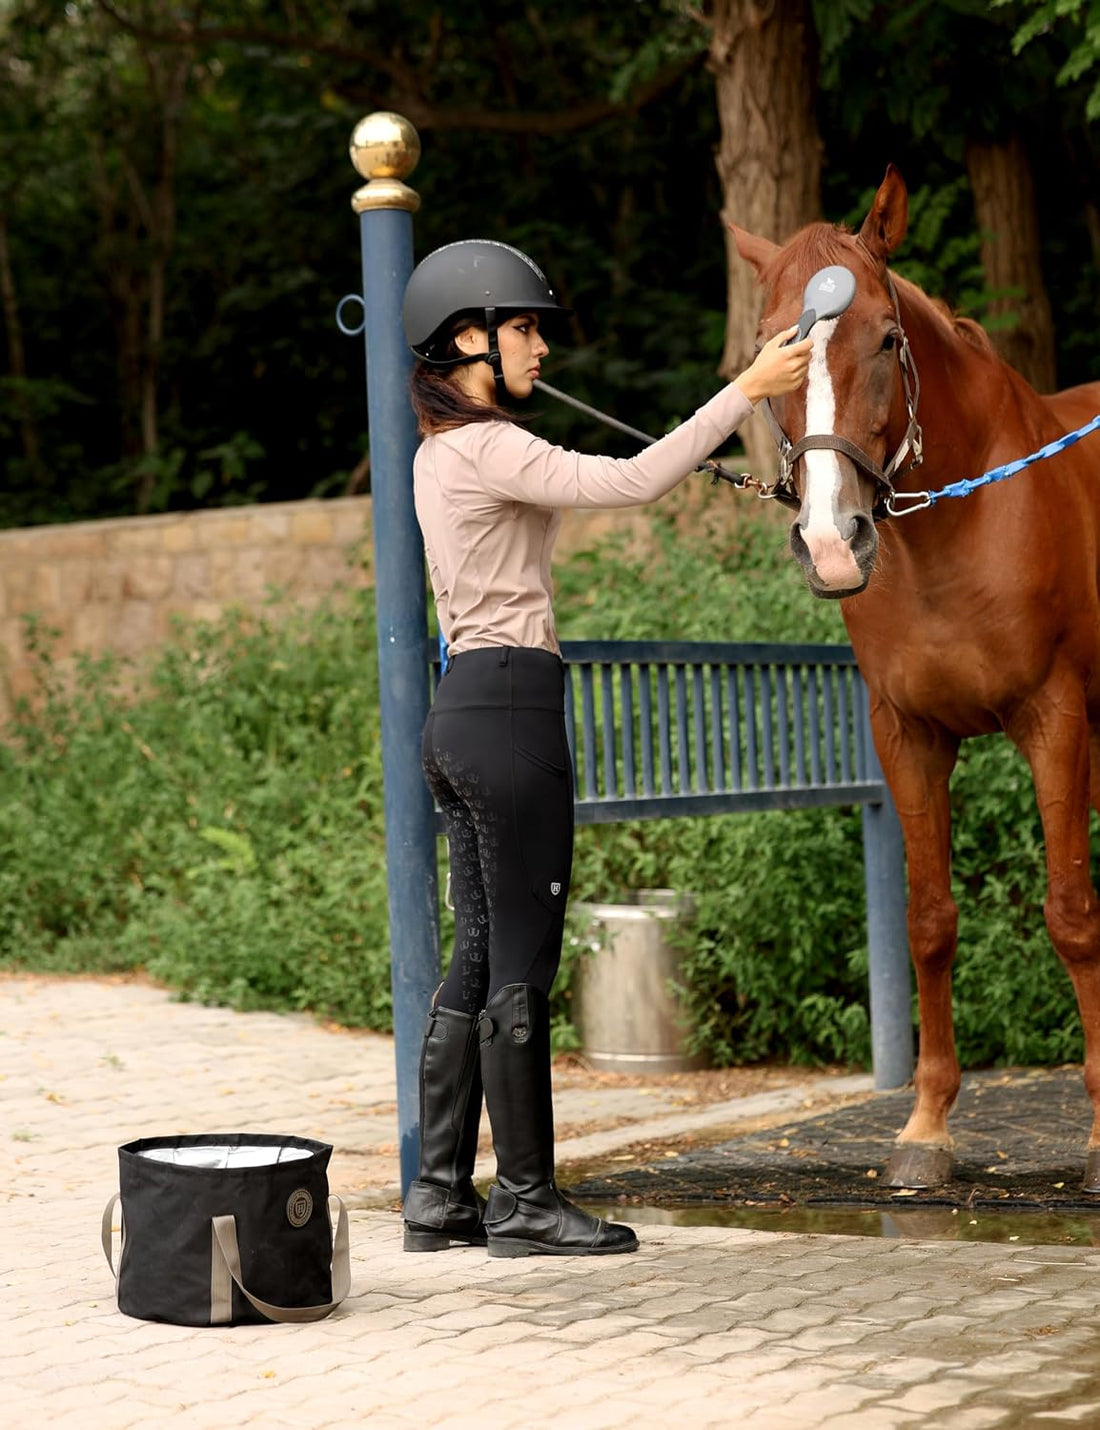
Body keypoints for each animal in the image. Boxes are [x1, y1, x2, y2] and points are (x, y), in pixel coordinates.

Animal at [732, 165, 1100, 1190]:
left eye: (887, 339)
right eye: (770, 346)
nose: (831, 540)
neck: (955, 533)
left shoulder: (1055, 721)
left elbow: (1071, 914)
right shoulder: (908, 735)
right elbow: (930, 920)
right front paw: (927, 1128)